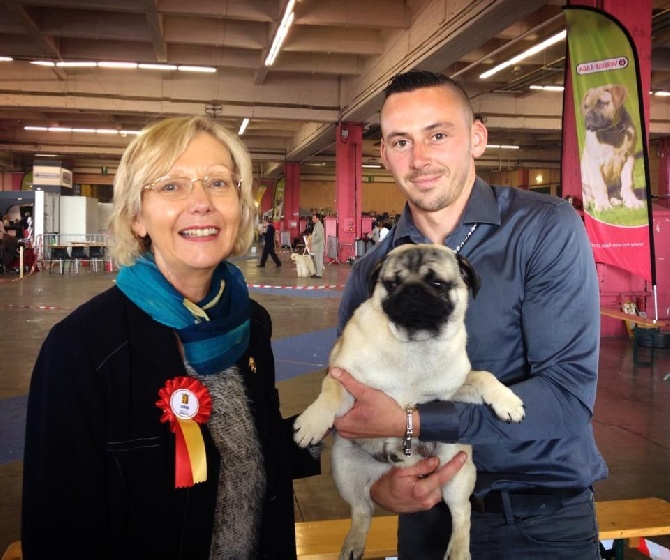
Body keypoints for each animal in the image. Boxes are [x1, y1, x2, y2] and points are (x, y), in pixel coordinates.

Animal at [296, 247, 528, 560]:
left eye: (438, 284)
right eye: (392, 283)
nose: (413, 290)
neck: (415, 345)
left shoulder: (453, 391)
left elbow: (483, 376)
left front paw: (508, 401)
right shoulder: (344, 376)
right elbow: (330, 391)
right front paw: (312, 424)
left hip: (457, 469)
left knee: (462, 513)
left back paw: (458, 549)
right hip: (343, 467)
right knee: (362, 510)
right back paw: (354, 542)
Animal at [584, 83, 644, 212]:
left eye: (601, 103)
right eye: (585, 107)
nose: (588, 117)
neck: (612, 131)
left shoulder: (629, 158)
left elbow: (628, 183)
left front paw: (632, 202)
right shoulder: (594, 162)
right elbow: (600, 185)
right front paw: (603, 205)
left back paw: (615, 201)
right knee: (588, 197)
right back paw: (589, 203)